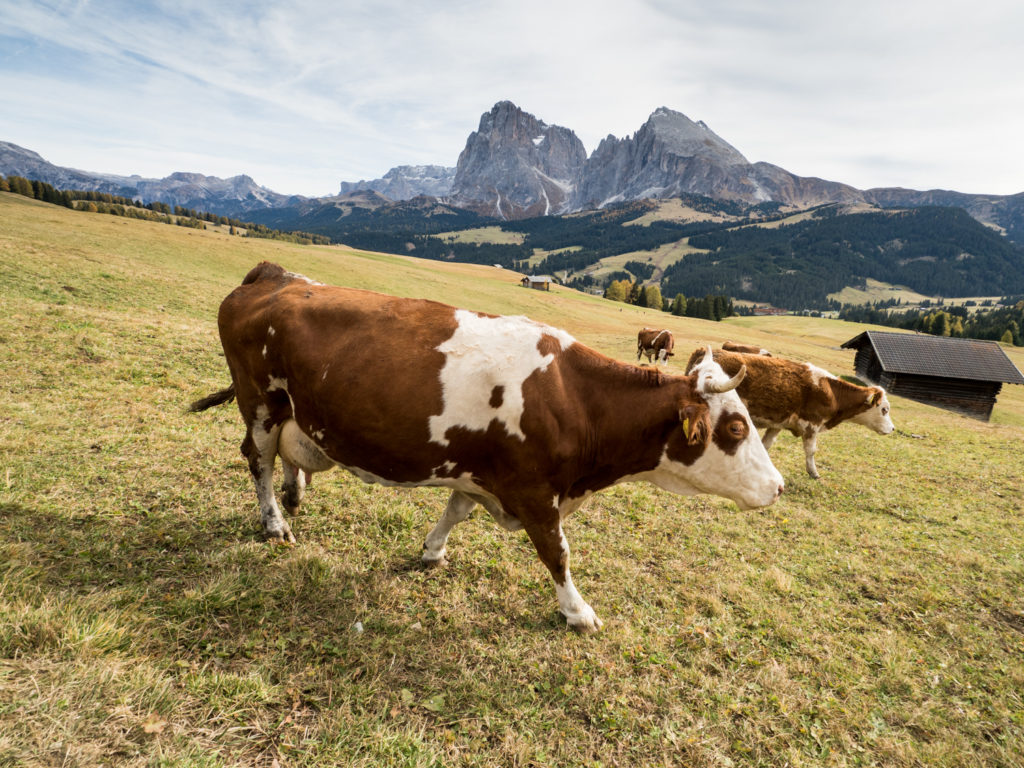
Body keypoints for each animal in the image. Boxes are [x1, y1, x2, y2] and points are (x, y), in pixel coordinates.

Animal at [192, 262, 782, 634]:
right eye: (735, 428)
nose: (778, 486)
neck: (577, 399)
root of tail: (275, 274)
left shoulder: (481, 471)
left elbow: (455, 511)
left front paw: (432, 551)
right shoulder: (534, 490)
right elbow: (557, 553)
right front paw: (578, 612)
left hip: (293, 411)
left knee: (287, 458)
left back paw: (296, 494)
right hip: (260, 402)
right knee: (259, 460)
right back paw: (274, 522)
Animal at [688, 350, 897, 481]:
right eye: (884, 409)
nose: (892, 428)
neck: (831, 392)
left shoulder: (777, 425)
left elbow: (766, 445)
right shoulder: (812, 426)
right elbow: (811, 451)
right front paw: (814, 473)